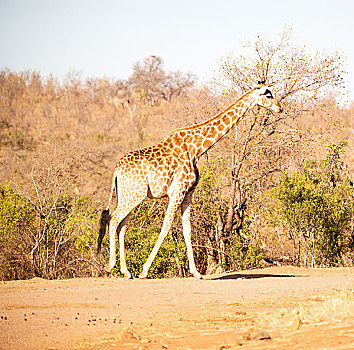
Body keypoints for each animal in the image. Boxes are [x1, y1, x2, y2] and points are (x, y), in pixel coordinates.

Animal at [97, 82, 282, 278]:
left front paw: (196, 272)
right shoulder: (177, 191)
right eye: (268, 95)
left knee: (122, 225)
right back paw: (110, 266)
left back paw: (125, 271)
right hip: (135, 195)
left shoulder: (188, 193)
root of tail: (116, 170)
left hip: (128, 195)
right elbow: (166, 227)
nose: (280, 108)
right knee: (114, 219)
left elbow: (187, 230)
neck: (197, 149)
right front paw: (145, 271)